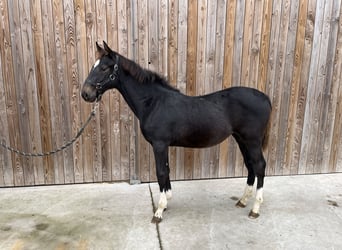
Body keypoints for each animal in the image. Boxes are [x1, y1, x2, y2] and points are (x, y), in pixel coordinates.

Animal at [81, 41, 272, 223]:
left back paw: (255, 209)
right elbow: (167, 170)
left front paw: (159, 211)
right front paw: (166, 202)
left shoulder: (159, 144)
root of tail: (265, 98)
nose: (86, 94)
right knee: (250, 165)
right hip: (241, 139)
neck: (153, 102)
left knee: (259, 165)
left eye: (104, 68)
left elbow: (161, 172)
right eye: (93, 66)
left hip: (252, 140)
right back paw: (243, 201)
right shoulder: (163, 145)